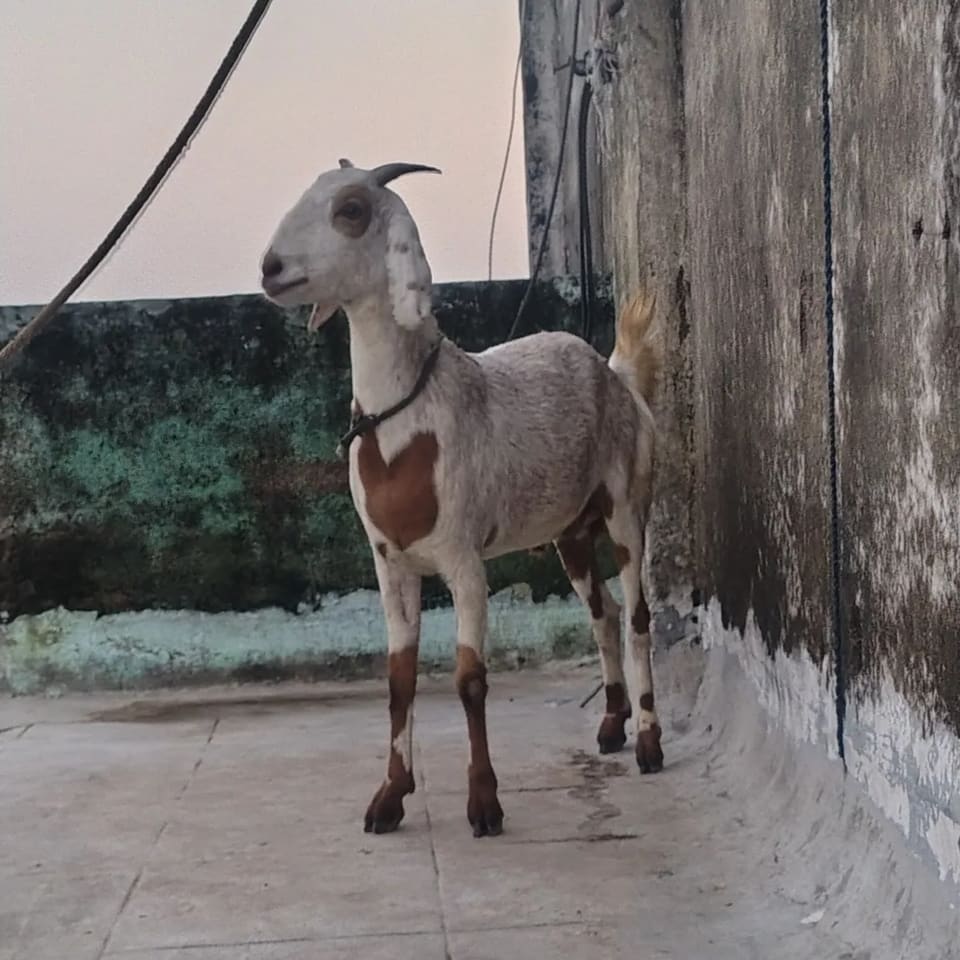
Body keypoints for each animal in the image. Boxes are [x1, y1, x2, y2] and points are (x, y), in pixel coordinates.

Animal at [260, 159, 662, 838]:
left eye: (350, 210)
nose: (271, 268)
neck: (407, 418)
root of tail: (616, 373)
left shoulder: (463, 559)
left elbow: (471, 679)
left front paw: (485, 804)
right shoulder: (390, 562)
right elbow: (398, 679)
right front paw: (390, 797)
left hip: (626, 502)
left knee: (636, 615)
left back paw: (649, 743)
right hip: (570, 531)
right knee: (602, 612)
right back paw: (610, 725)